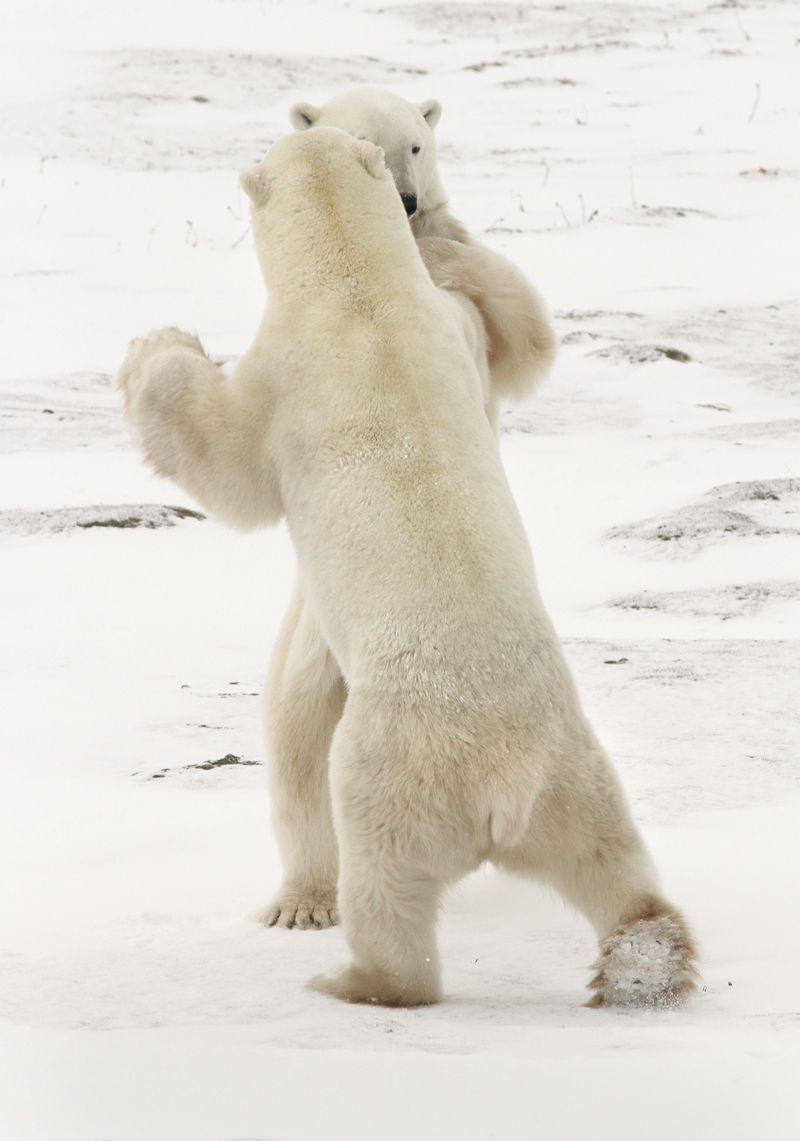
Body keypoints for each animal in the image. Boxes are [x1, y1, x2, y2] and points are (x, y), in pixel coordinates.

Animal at [117, 127, 697, 1008]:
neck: (357, 288)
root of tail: (503, 788)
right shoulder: (444, 327)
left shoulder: (285, 374)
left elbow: (225, 460)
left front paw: (157, 345)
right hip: (578, 779)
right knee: (614, 864)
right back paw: (647, 951)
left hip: (391, 772)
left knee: (386, 885)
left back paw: (351, 975)